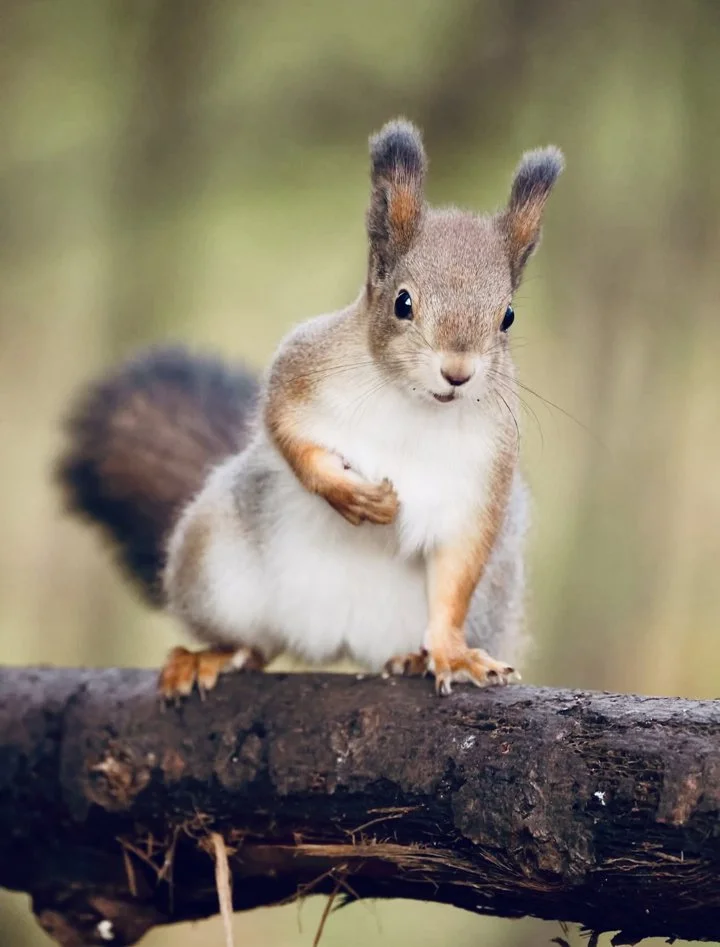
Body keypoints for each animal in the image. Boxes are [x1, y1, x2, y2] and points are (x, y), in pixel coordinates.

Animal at [57, 119, 563, 698]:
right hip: (213, 565)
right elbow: (285, 427)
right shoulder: (303, 368)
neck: (414, 404)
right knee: (254, 645)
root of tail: (334, 639)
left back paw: (415, 657)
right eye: (403, 303)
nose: (457, 373)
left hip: (492, 597)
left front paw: (452, 653)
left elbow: (456, 573)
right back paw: (213, 655)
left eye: (508, 316)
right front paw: (347, 493)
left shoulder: (484, 475)